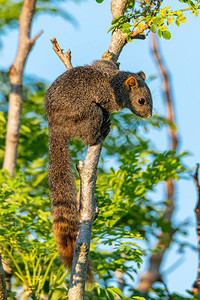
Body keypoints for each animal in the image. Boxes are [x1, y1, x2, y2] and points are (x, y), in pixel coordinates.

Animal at [44, 59, 152, 270]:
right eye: (141, 101)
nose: (149, 115)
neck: (117, 82)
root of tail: (55, 125)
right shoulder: (110, 98)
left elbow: (102, 62)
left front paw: (113, 59)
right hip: (87, 114)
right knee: (89, 133)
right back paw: (100, 132)